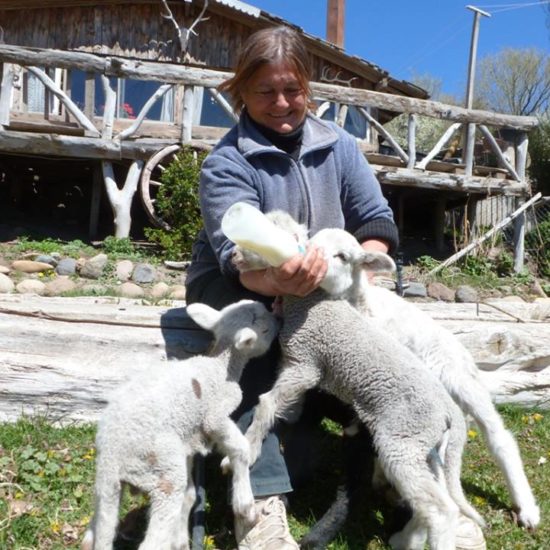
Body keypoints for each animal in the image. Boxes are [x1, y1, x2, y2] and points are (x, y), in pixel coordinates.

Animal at [82, 300, 280, 550]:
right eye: (264, 329)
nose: (280, 319)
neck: (220, 365)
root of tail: (113, 456)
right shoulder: (214, 415)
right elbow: (240, 448)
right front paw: (245, 507)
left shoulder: (188, 439)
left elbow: (190, 493)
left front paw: (181, 538)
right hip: (163, 472)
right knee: (152, 540)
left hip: (108, 485)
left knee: (99, 526)